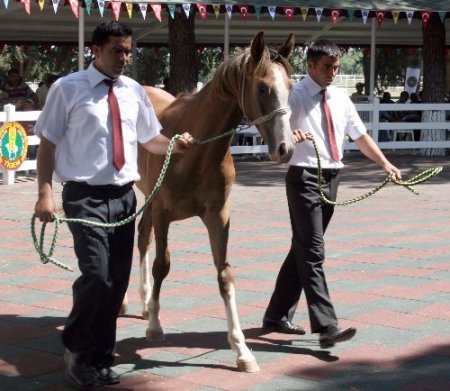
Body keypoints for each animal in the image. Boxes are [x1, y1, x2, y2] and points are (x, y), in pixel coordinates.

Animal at [123, 32, 296, 372]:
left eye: (291, 87)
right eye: (262, 88)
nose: (285, 149)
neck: (195, 150)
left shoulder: (218, 215)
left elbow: (225, 275)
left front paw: (242, 350)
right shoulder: (163, 212)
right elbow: (162, 265)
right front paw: (155, 327)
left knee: (142, 235)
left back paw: (145, 303)